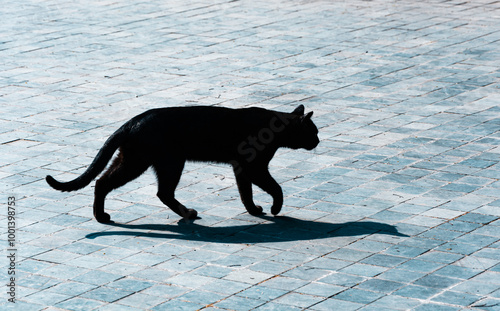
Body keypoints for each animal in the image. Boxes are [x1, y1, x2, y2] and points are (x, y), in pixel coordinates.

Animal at [47, 106, 320, 223]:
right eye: (314, 131)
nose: (319, 140)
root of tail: (131, 121)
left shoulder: (241, 167)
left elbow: (246, 192)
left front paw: (254, 210)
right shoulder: (254, 166)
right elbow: (276, 188)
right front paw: (275, 209)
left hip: (140, 161)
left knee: (105, 182)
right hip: (152, 163)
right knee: (151, 190)